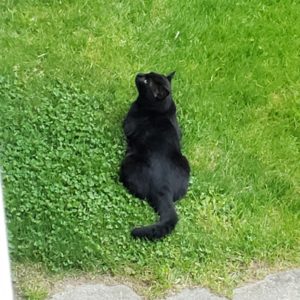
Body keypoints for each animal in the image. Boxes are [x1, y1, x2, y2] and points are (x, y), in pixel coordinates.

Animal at [119, 71, 190, 240]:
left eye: (146, 81)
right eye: (147, 74)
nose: (139, 74)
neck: (163, 109)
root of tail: (164, 188)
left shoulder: (127, 124)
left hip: (129, 162)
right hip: (185, 163)